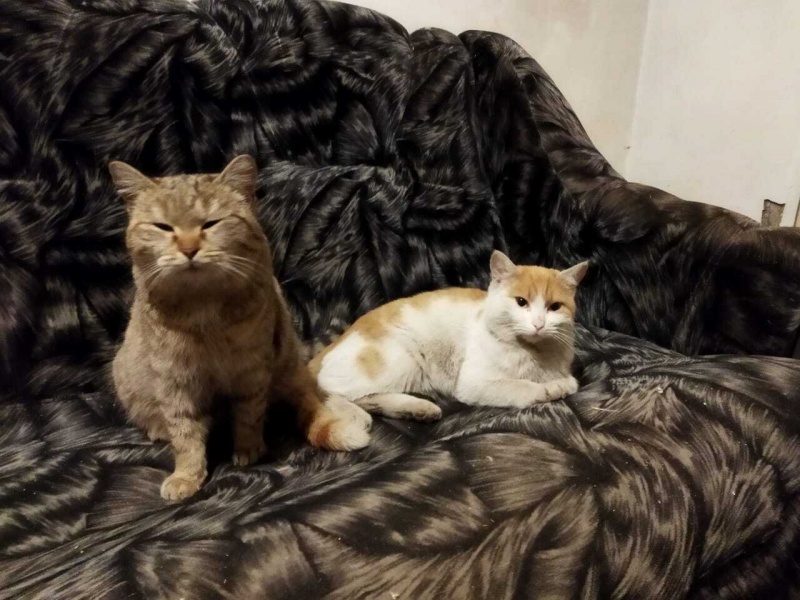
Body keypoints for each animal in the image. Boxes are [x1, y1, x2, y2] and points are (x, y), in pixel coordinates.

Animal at [108, 155, 370, 501]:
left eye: (211, 223)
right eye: (162, 227)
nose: (189, 249)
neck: (203, 306)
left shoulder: (252, 372)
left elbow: (248, 416)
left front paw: (248, 449)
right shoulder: (175, 382)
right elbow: (185, 434)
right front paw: (187, 475)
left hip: (289, 367)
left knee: (310, 401)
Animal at [309, 251, 588, 421]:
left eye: (554, 307)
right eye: (521, 302)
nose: (539, 324)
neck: (533, 352)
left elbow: (569, 382)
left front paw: (559, 384)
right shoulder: (474, 384)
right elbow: (522, 387)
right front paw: (547, 389)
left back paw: (417, 409)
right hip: (401, 359)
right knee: (338, 394)